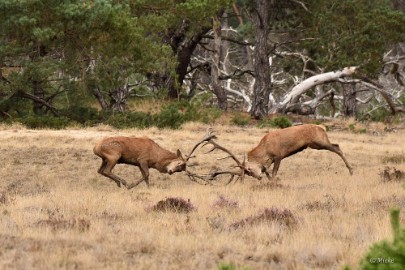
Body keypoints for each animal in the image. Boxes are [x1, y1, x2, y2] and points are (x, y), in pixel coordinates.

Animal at [204, 124, 352, 184]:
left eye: (249, 169)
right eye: (248, 173)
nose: (258, 178)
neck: (266, 151)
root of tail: (322, 127)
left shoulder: (279, 155)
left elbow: (274, 172)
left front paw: (273, 182)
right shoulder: (269, 162)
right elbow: (268, 172)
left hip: (319, 142)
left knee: (337, 147)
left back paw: (351, 170)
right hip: (315, 145)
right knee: (336, 145)